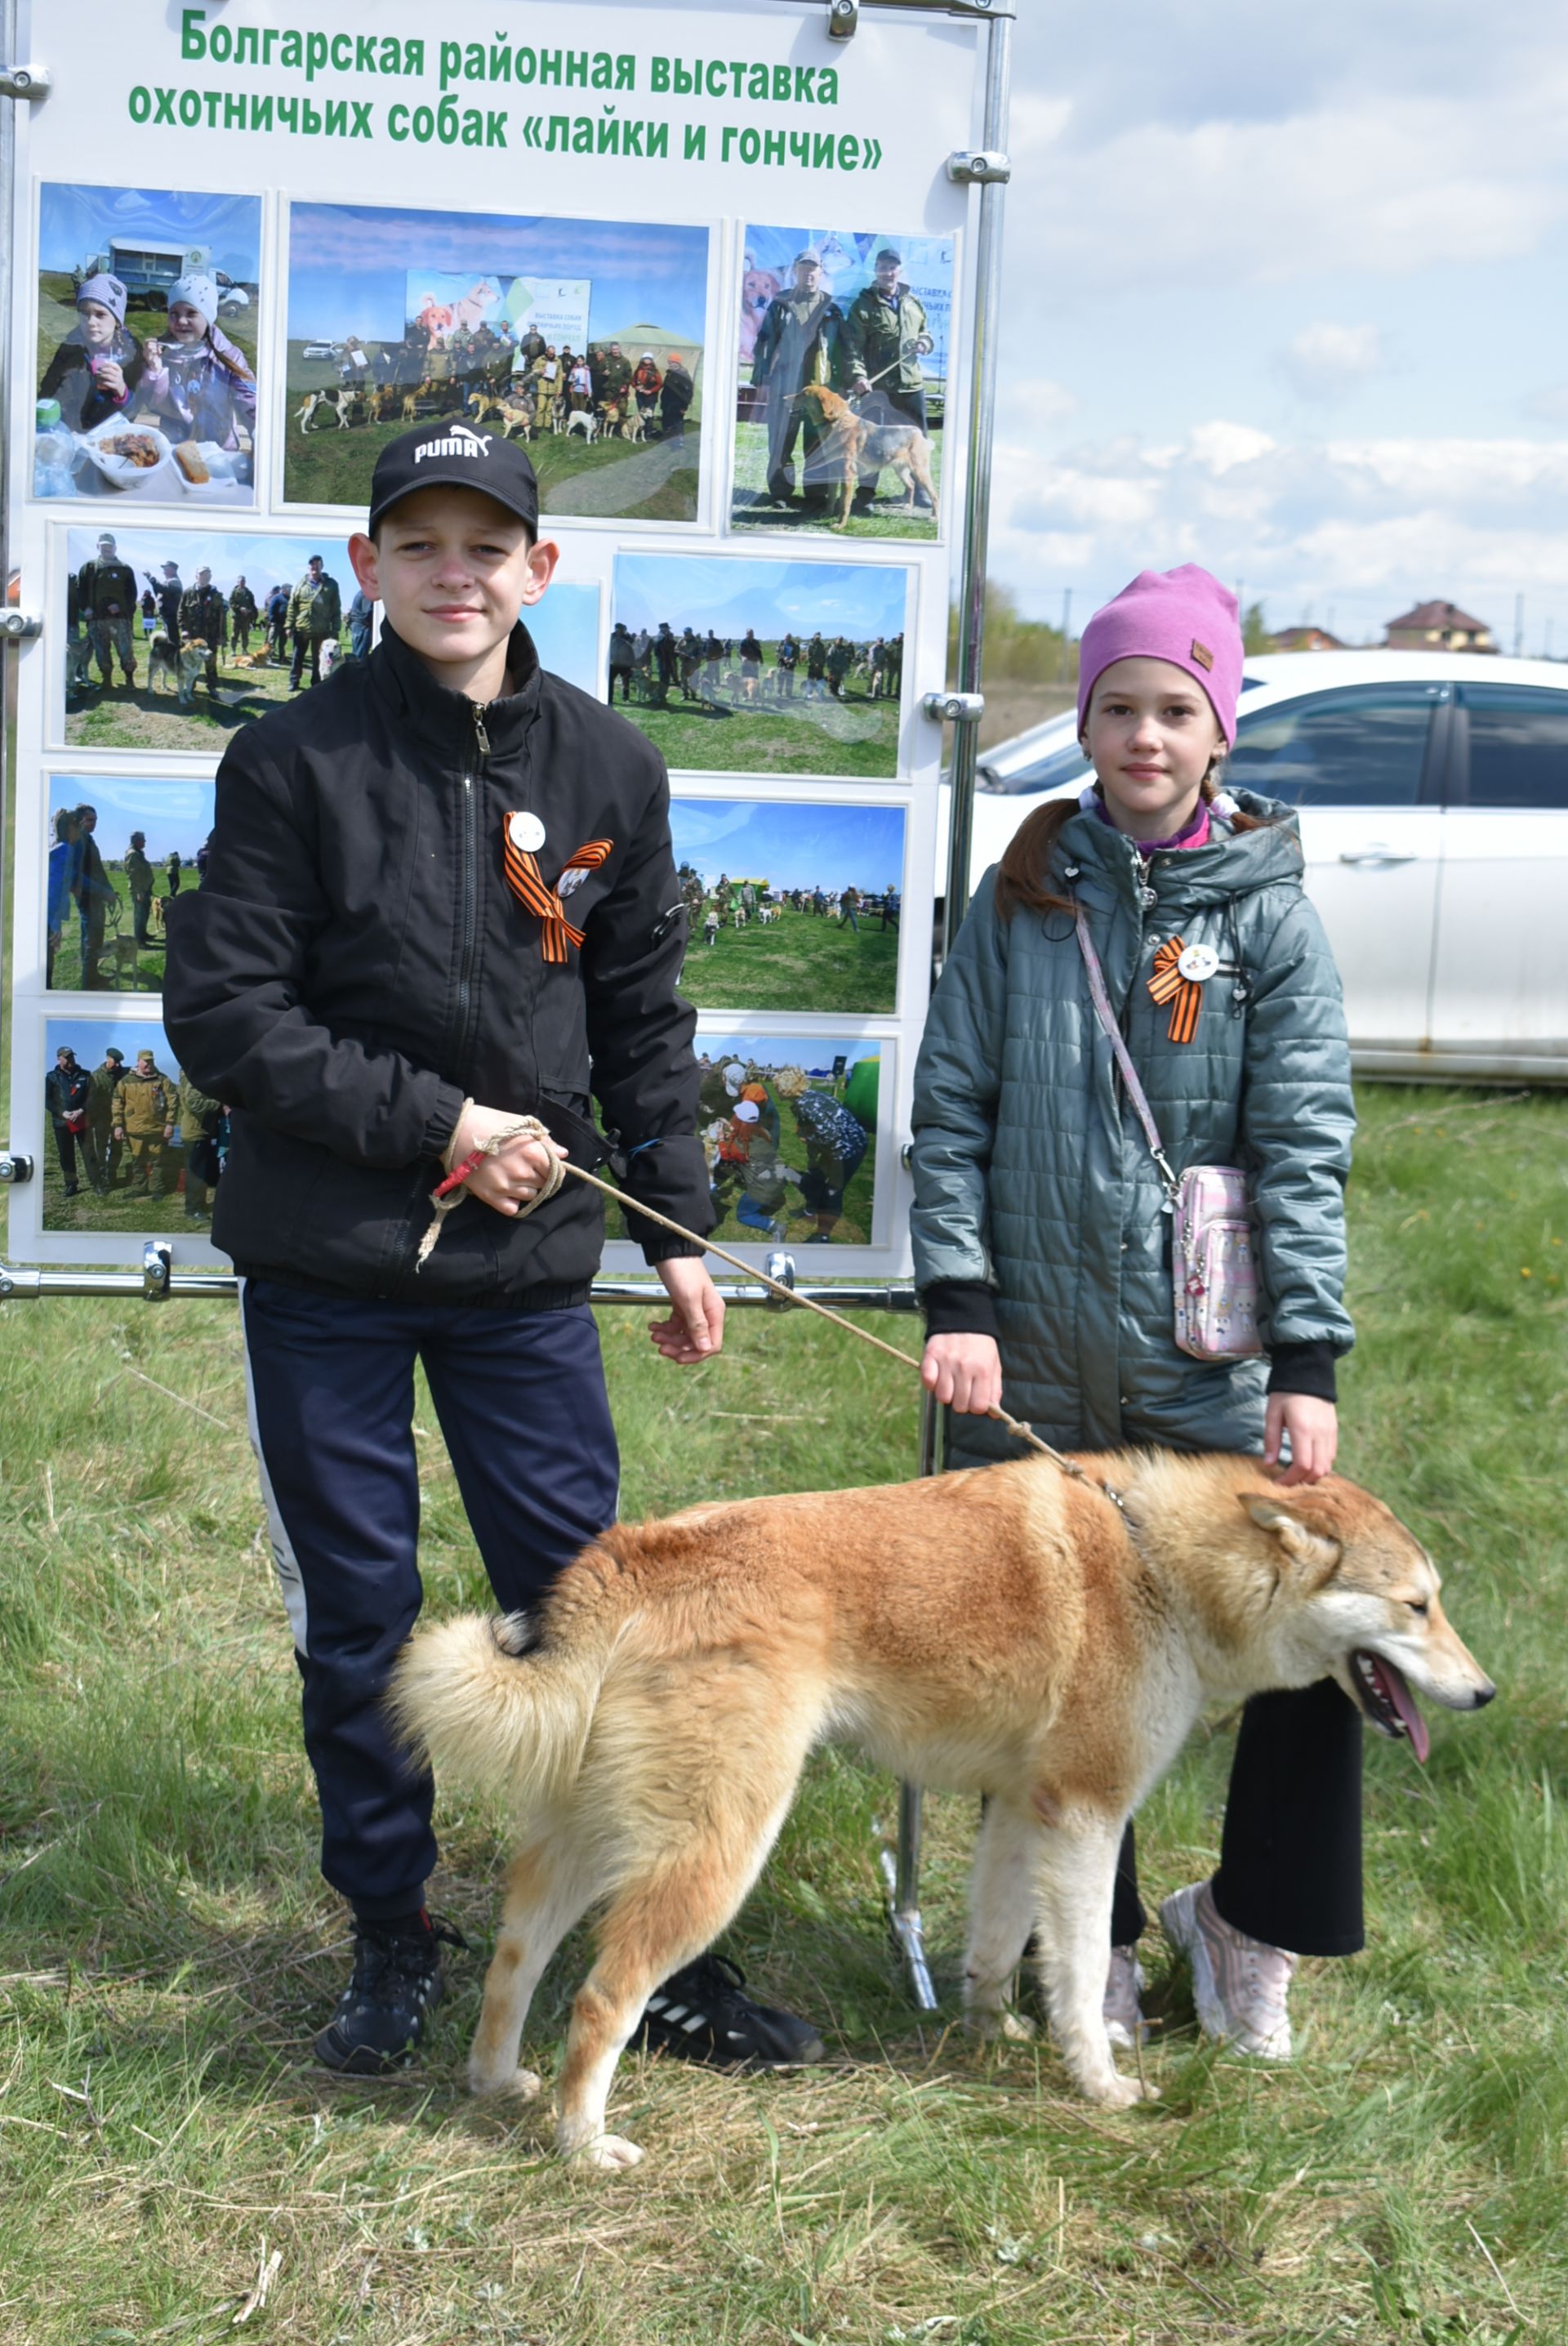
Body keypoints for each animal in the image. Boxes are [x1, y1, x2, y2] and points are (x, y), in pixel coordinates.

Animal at [394, 1454, 1490, 2167]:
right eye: (1416, 1605)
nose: (1484, 1694)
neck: (1159, 1561)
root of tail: (630, 1560)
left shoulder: (1019, 1809)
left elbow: (999, 1947)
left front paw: (990, 2035)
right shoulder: (1087, 1817)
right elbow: (1080, 1973)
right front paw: (1101, 2085)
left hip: (591, 1834)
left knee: (514, 1959)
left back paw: (495, 2082)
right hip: (716, 1852)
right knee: (601, 1999)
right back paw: (583, 2144)